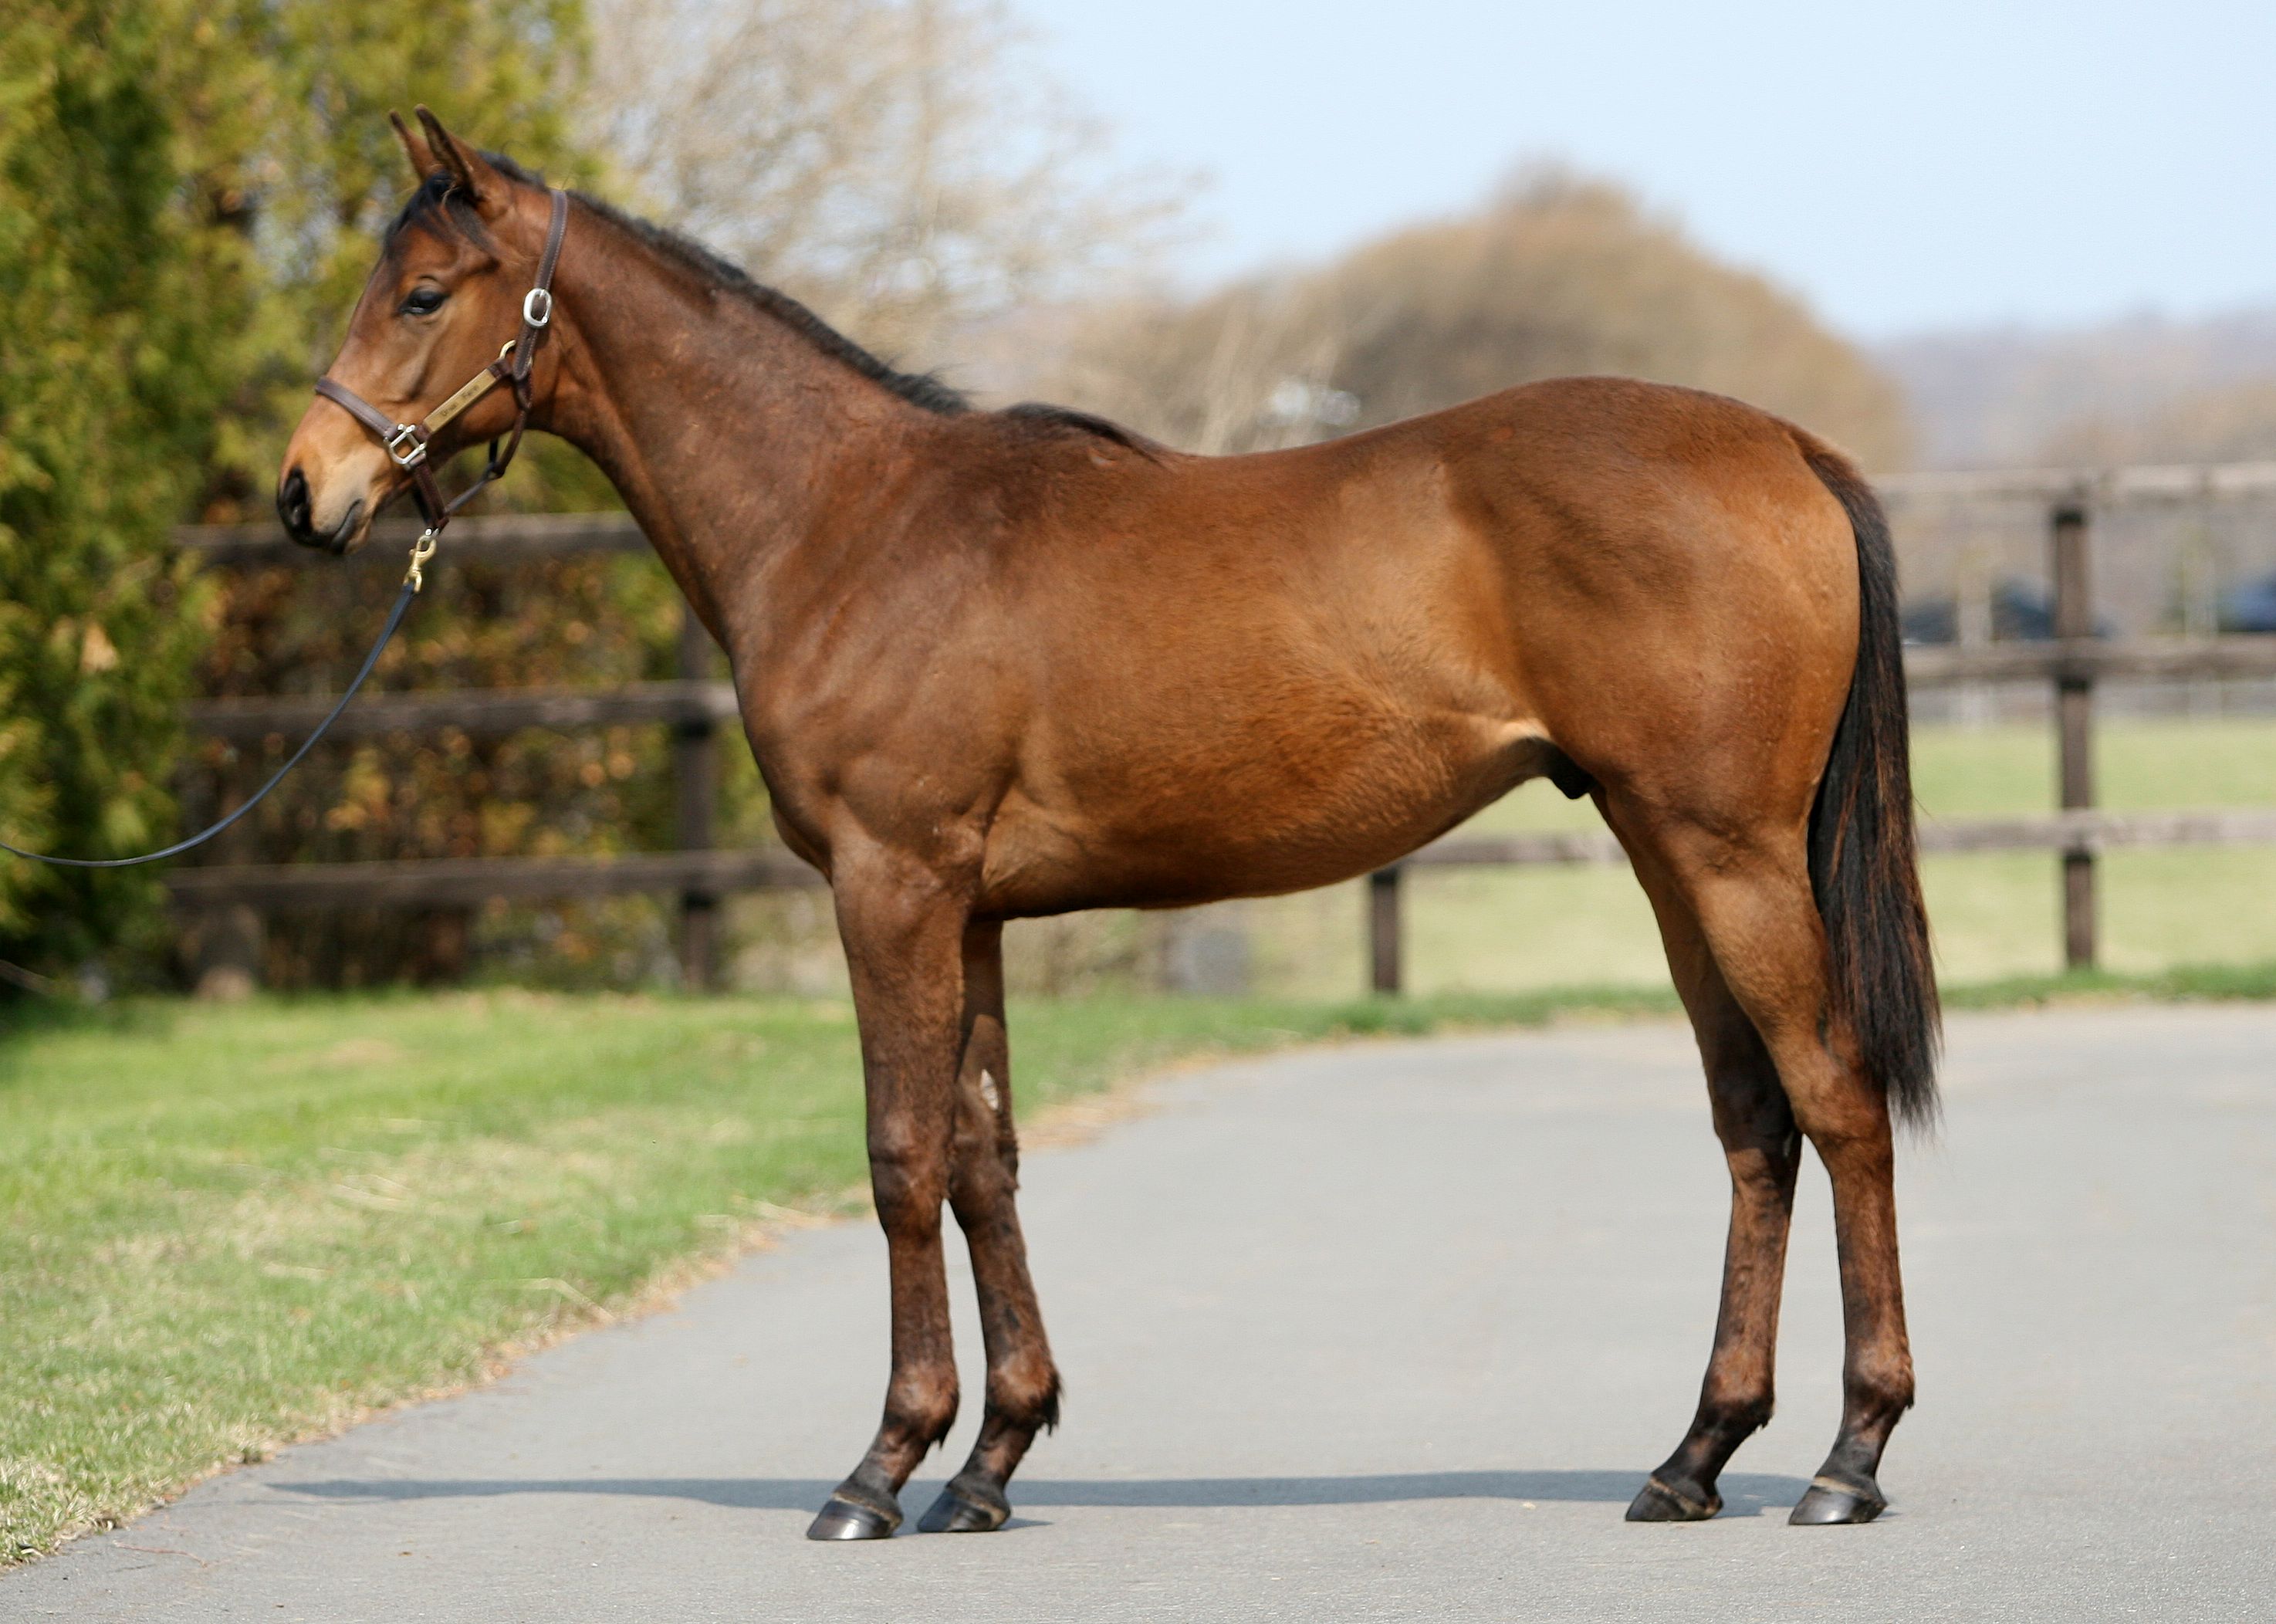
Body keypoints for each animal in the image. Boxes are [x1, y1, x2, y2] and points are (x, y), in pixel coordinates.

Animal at [279, 109, 1939, 1541]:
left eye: (420, 290)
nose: (306, 493)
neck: (845, 520)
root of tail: (1783, 447)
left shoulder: (890, 885)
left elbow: (896, 1155)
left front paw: (880, 1464)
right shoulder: (969, 909)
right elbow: (982, 1160)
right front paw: (989, 1458)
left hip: (1727, 854)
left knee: (1836, 1097)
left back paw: (1847, 1455)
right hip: (1668, 855)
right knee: (1752, 1120)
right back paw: (1694, 1451)